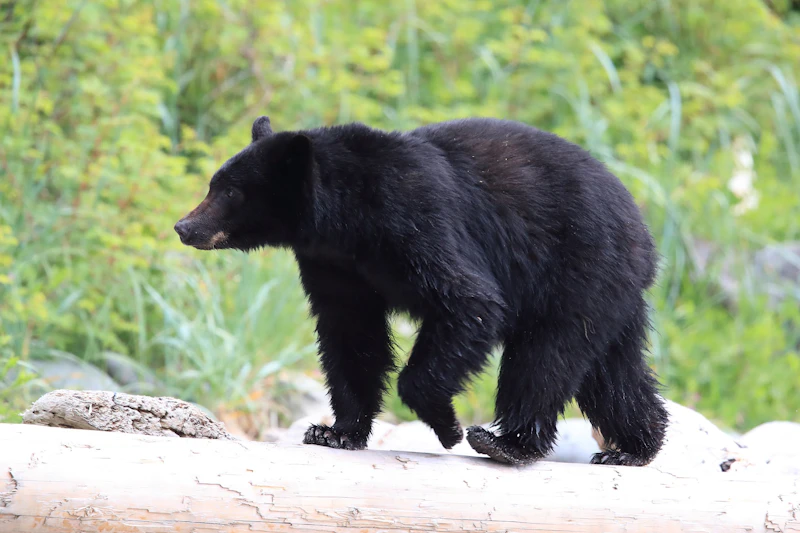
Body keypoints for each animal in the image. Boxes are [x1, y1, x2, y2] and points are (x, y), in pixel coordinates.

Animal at [174, 115, 669, 466]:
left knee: (544, 356)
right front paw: (335, 432)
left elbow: (470, 301)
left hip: (577, 266)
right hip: (608, 292)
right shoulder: (332, 263)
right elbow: (351, 333)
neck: (345, 221)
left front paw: (446, 425)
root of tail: (644, 231)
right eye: (213, 184)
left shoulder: (415, 219)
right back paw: (634, 446)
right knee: (612, 372)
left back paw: (507, 442)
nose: (183, 226)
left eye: (230, 191)